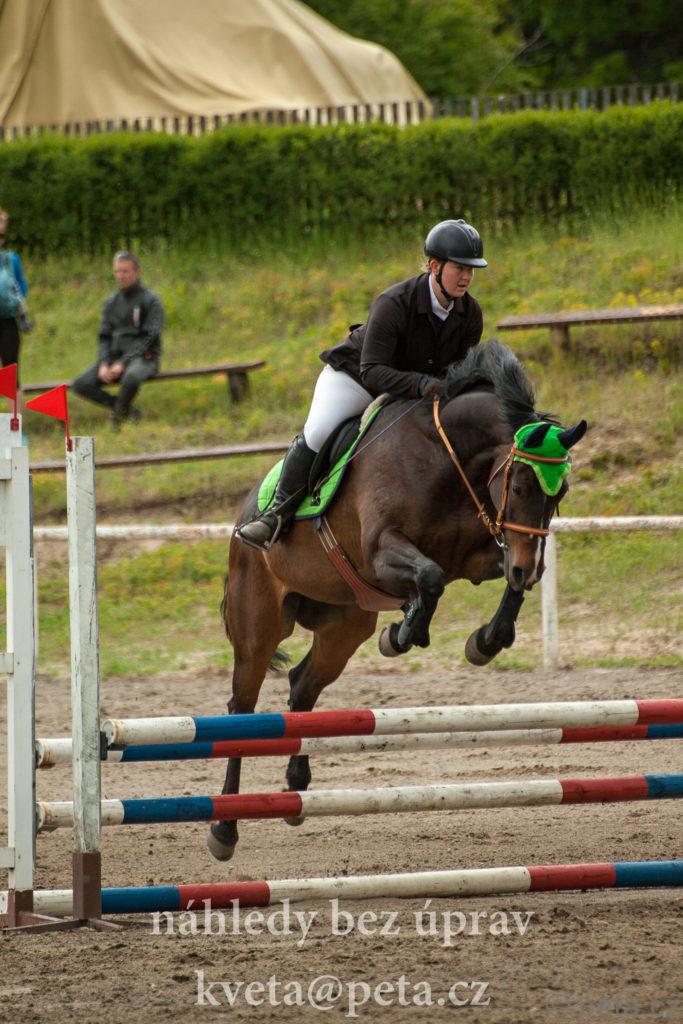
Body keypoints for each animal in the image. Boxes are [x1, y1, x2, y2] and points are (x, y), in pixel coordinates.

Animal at [208, 339, 587, 860]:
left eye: (560, 490)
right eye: (521, 485)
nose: (529, 569)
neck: (449, 459)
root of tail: (243, 519)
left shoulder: (478, 556)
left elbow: (483, 582)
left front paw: (483, 642)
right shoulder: (381, 551)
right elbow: (429, 578)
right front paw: (403, 634)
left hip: (344, 625)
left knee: (302, 687)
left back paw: (296, 788)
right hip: (259, 624)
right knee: (241, 709)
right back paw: (224, 829)